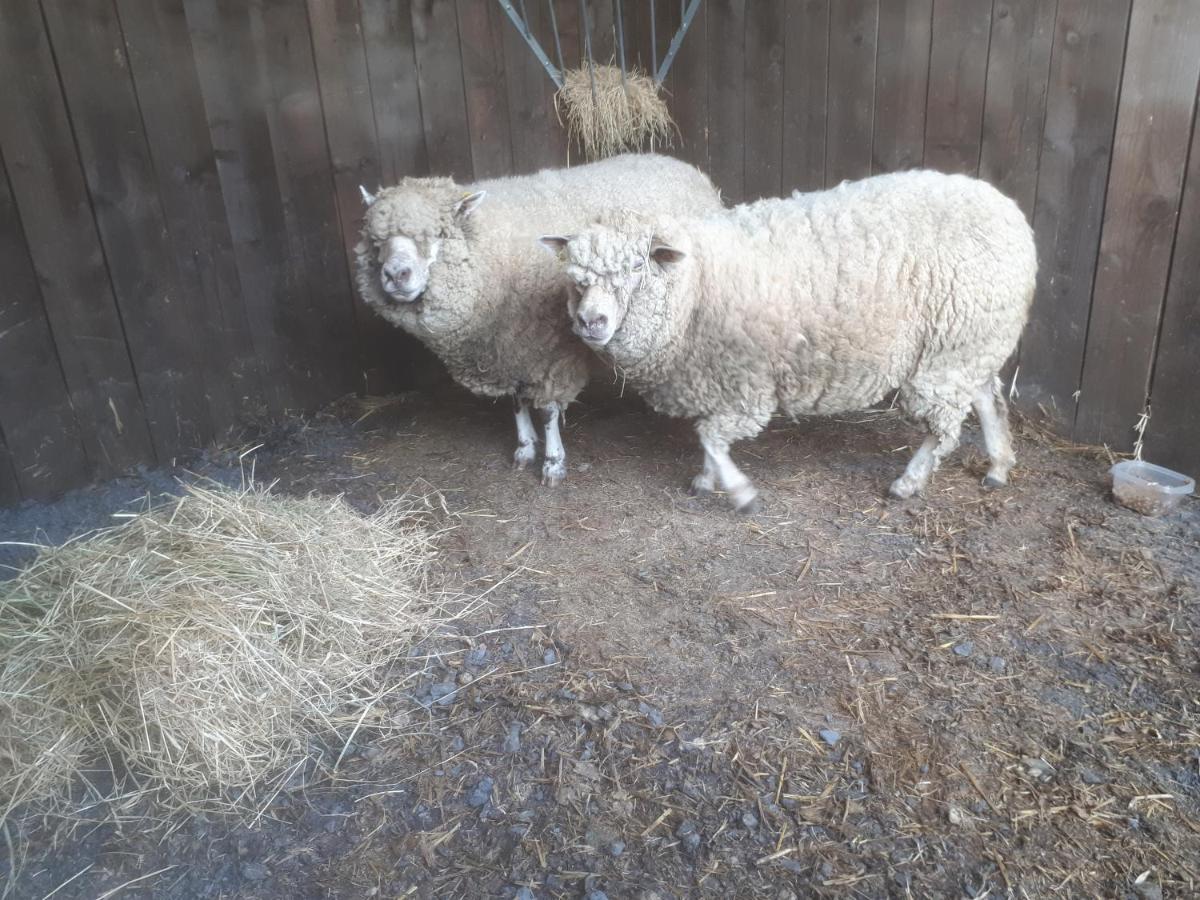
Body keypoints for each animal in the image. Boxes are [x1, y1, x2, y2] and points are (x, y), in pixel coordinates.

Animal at [350, 154, 715, 487]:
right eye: (376, 241)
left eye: (439, 233)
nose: (396, 275)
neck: (494, 252)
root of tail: (681, 164)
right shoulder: (509, 347)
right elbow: (516, 401)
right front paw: (525, 447)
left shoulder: (548, 350)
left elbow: (548, 410)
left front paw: (553, 462)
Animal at [542, 168, 1032, 508]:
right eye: (577, 277)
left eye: (635, 267)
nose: (590, 321)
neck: (696, 283)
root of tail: (1011, 215)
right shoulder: (714, 379)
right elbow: (709, 438)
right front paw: (707, 479)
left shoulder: (742, 383)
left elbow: (712, 438)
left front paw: (738, 492)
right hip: (968, 344)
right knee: (987, 398)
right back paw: (998, 465)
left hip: (950, 352)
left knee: (944, 428)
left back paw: (908, 482)